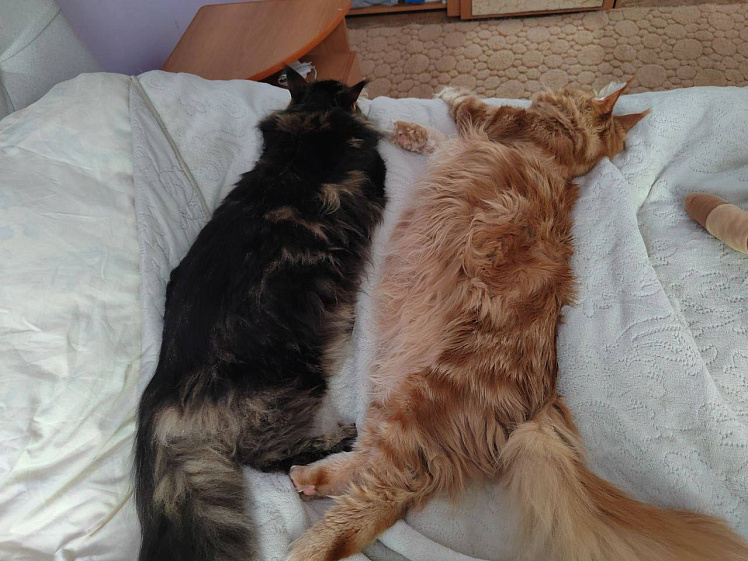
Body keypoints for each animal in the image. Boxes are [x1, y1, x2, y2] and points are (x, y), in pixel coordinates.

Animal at [134, 67, 386, 561]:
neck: (311, 121)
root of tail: (164, 385)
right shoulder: (373, 172)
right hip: (299, 376)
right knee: (264, 459)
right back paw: (337, 440)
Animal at [287, 83, 748, 561]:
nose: (565, 89)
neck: (567, 152)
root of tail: (537, 406)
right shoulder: (479, 140)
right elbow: (440, 140)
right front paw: (408, 130)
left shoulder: (494, 123)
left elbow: (461, 111)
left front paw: (440, 97)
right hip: (395, 395)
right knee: (372, 467)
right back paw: (311, 478)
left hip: (419, 404)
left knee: (383, 497)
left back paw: (305, 544)